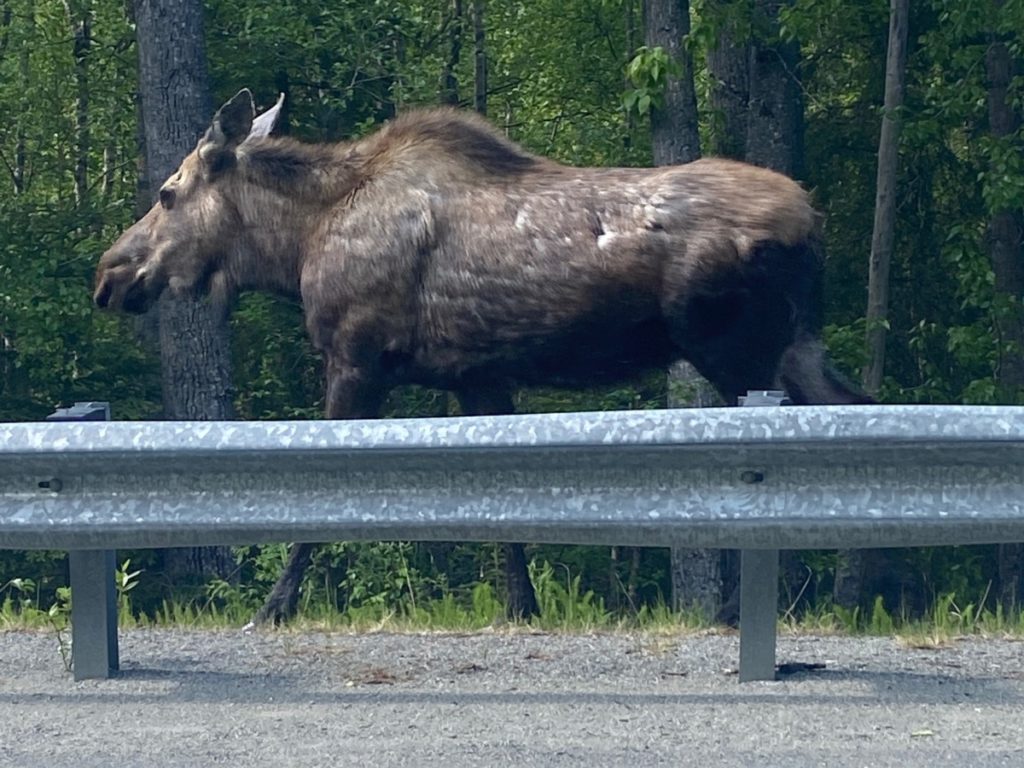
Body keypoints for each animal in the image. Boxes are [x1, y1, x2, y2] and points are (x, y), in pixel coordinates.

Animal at [96, 90, 868, 626]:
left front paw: (274, 607)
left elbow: (317, 508)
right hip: (795, 347)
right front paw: (523, 609)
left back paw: (747, 610)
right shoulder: (477, 374)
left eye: (168, 193)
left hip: (735, 351)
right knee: (856, 413)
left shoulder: (355, 357)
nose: (110, 273)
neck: (296, 246)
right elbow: (505, 520)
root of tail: (817, 221)